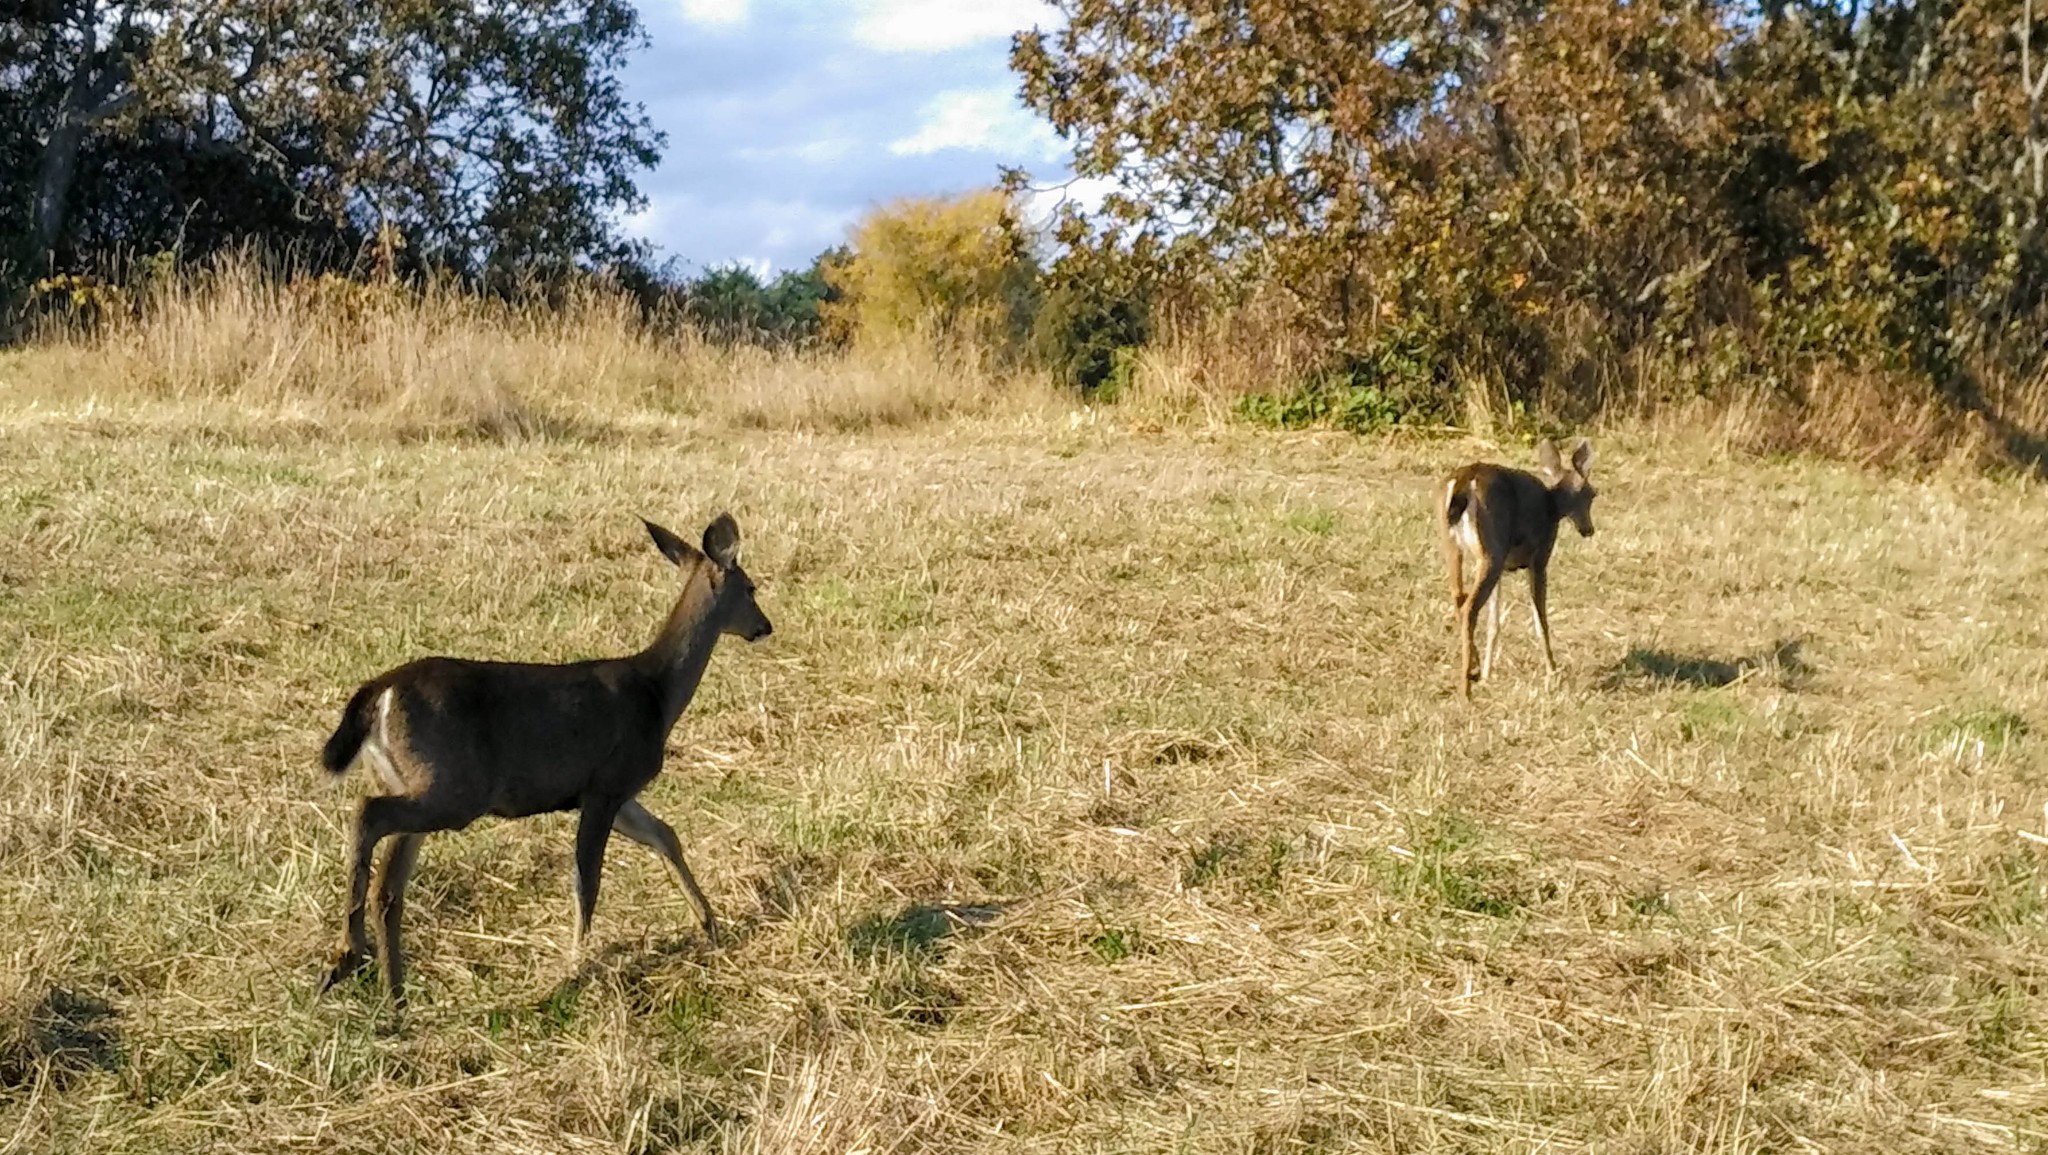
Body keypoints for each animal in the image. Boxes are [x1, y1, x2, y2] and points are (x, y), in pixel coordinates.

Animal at [315, 509, 770, 1007]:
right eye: (752, 588)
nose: (764, 627)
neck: (657, 692)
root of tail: (379, 692)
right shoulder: (609, 781)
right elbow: (586, 879)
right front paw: (574, 964)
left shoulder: (608, 789)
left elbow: (665, 835)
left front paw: (709, 924)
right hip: (453, 786)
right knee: (367, 814)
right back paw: (346, 956)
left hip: (411, 779)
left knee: (389, 886)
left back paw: (391, 994)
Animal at [1441, 440, 1597, 696]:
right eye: (1593, 494)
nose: (1588, 530)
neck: (1552, 507)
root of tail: (1465, 479)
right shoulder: (1540, 557)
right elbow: (1540, 620)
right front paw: (1552, 672)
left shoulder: (1504, 566)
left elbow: (1494, 622)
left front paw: (1487, 674)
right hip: (1492, 549)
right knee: (1469, 608)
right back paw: (1466, 688)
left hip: (1454, 545)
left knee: (1459, 598)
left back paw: (1474, 671)